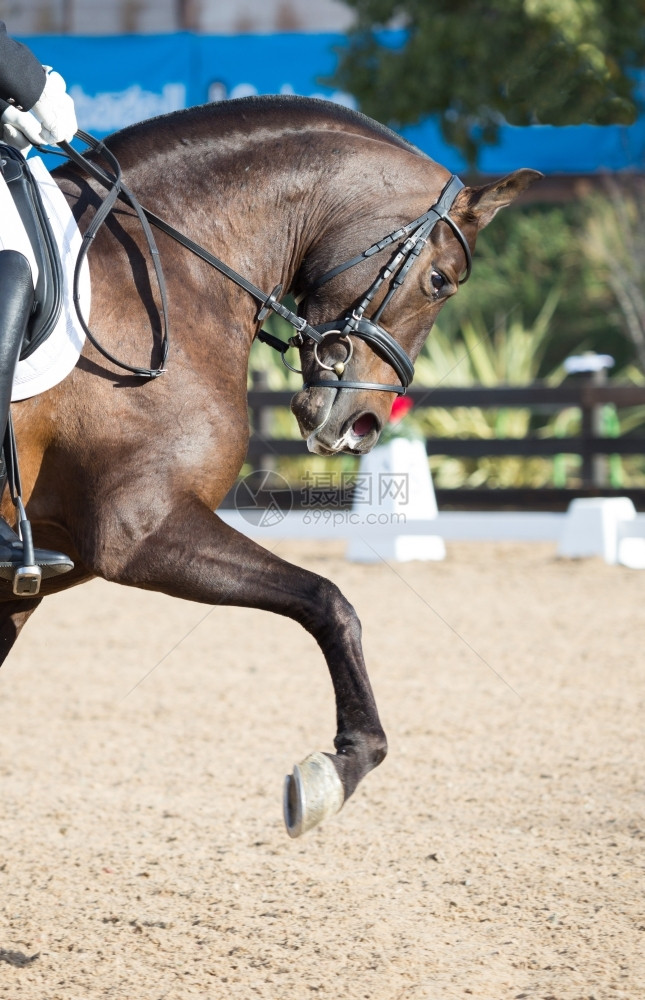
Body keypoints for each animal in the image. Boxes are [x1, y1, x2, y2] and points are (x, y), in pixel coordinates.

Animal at [0, 97, 540, 836]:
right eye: (439, 282)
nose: (364, 424)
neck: (166, 271)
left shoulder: (35, 573)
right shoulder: (137, 532)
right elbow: (329, 601)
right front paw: (339, 768)